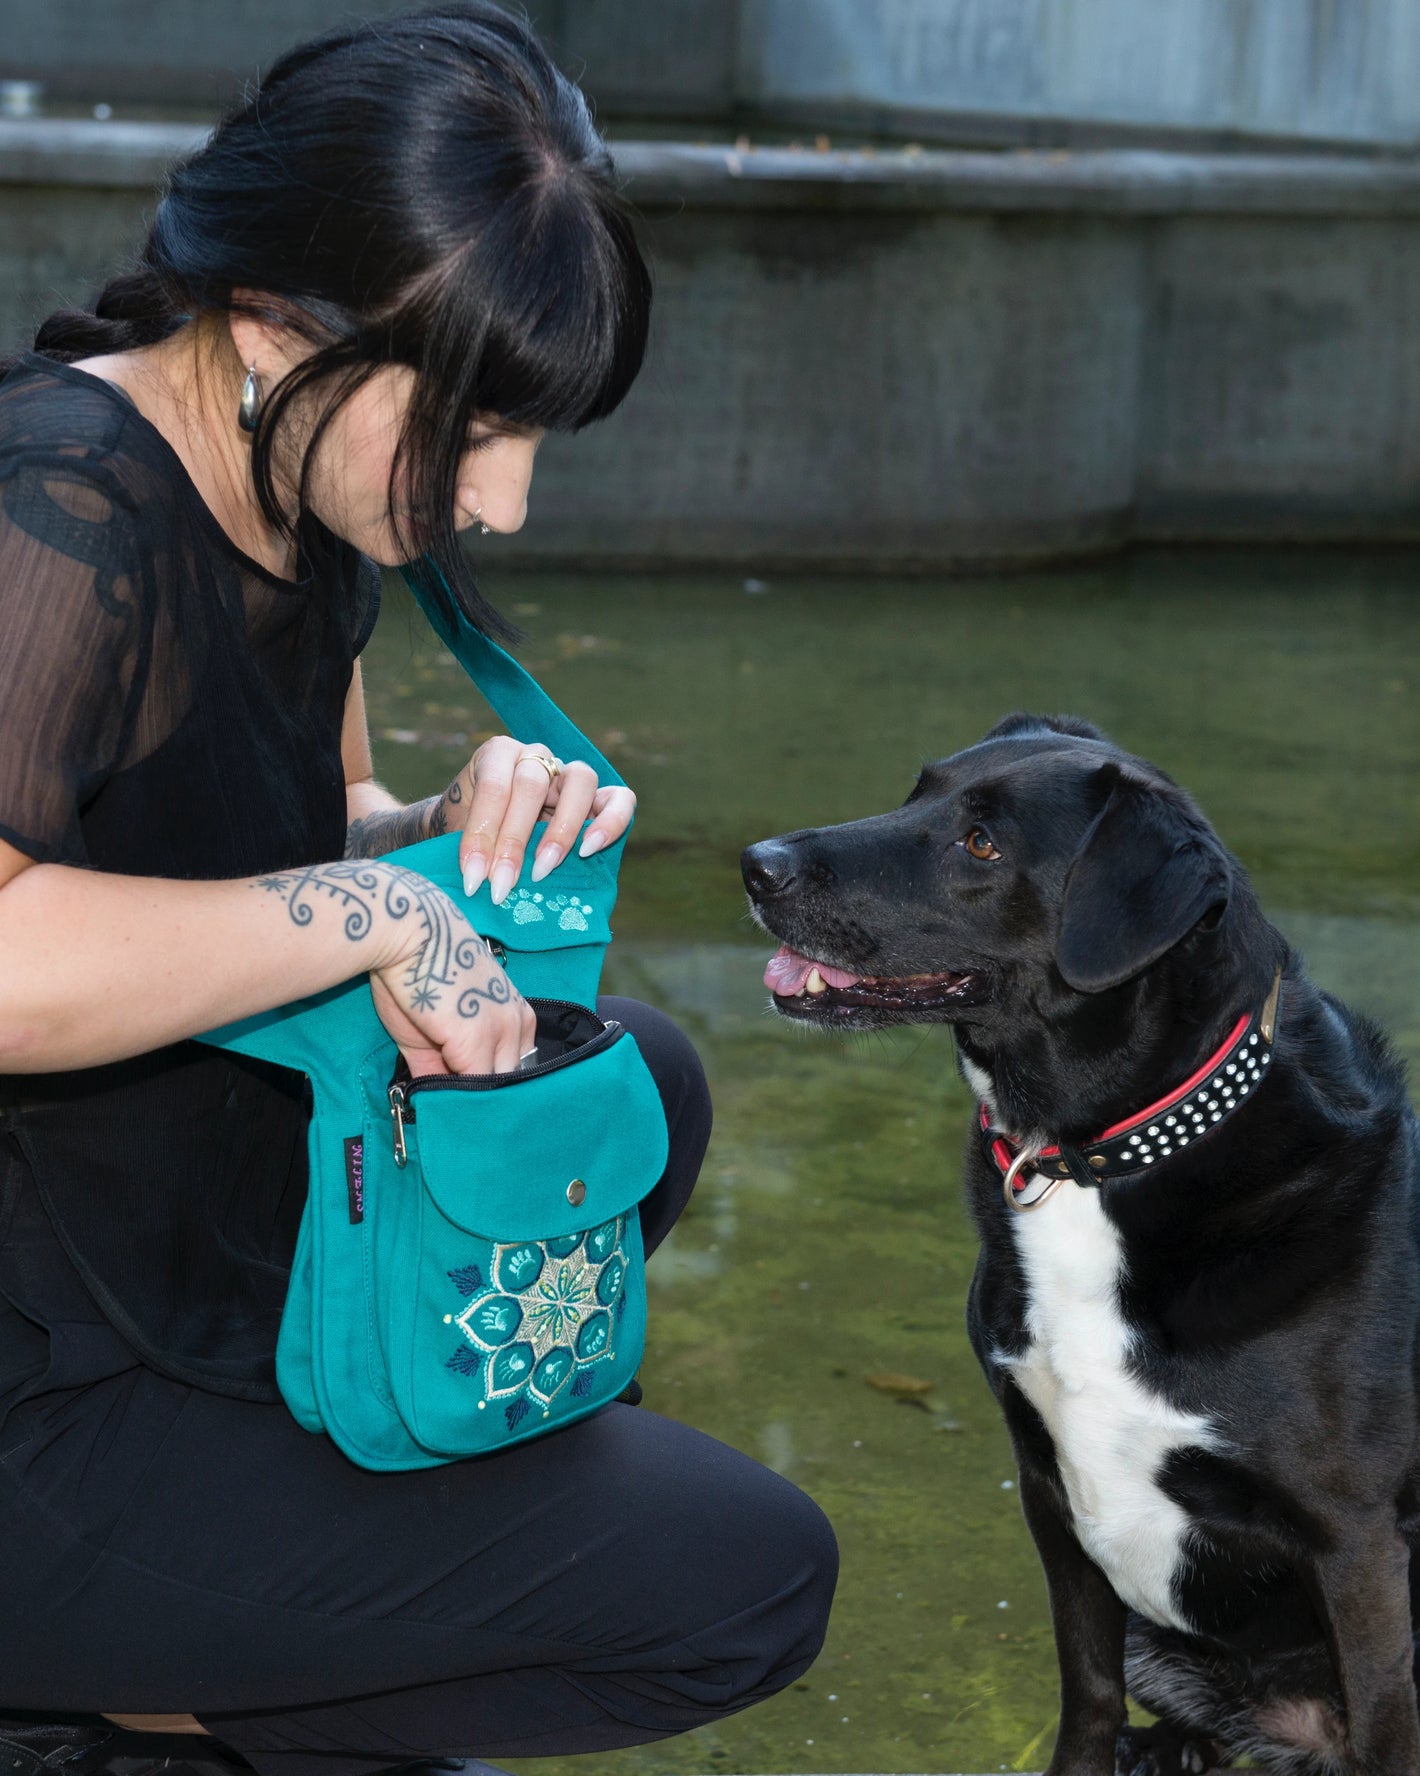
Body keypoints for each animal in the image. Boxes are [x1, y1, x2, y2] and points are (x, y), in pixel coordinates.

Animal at [741, 710, 1420, 1776]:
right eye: (917, 794)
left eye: (983, 844)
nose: (755, 866)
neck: (1095, 1156)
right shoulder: (1051, 1494)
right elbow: (1088, 1698)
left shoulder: (1356, 1544)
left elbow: (1389, 1729)